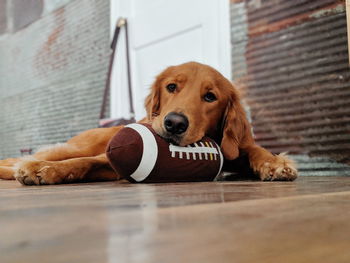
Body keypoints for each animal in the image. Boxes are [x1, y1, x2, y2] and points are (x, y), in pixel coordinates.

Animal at [0, 62, 296, 186]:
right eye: (171, 86)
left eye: (210, 97)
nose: (174, 123)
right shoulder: (104, 158)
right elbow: (84, 162)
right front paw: (45, 170)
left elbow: (253, 149)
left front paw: (274, 162)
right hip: (71, 146)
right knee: (19, 159)